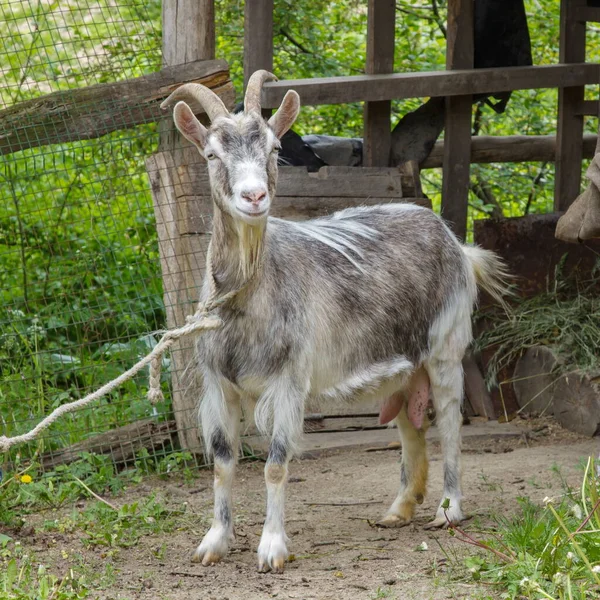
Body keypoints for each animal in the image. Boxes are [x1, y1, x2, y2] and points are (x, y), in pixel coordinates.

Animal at [159, 72, 506, 576]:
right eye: (211, 154)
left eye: (274, 149)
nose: (254, 197)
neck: (247, 301)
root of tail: (454, 242)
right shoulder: (217, 383)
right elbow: (223, 461)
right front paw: (215, 542)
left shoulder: (289, 379)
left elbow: (276, 463)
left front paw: (272, 548)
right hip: (401, 365)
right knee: (410, 425)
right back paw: (399, 509)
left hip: (446, 346)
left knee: (450, 422)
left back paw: (449, 511)